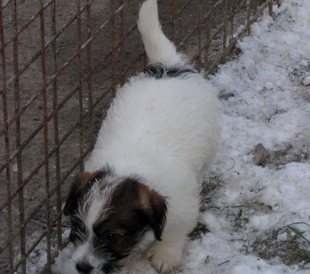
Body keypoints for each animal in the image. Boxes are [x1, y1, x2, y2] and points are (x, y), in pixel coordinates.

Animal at [64, 0, 222, 272]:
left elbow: (174, 233)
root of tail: (168, 67)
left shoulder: (182, 209)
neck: (129, 167)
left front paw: (164, 255)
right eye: (76, 228)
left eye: (112, 236)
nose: (82, 267)